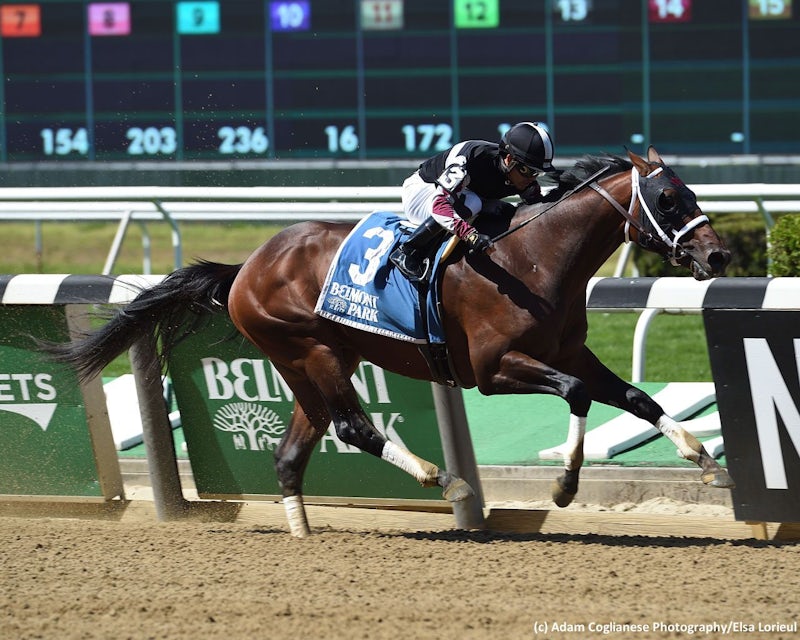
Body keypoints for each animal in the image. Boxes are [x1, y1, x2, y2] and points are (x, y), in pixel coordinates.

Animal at [47, 147, 733, 537]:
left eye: (693, 192)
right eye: (669, 197)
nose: (718, 256)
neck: (534, 258)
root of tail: (245, 268)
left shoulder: (568, 351)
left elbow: (636, 398)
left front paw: (704, 460)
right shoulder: (494, 368)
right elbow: (577, 395)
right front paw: (564, 485)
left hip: (312, 361)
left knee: (294, 451)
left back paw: (303, 533)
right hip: (308, 350)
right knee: (353, 427)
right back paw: (444, 479)